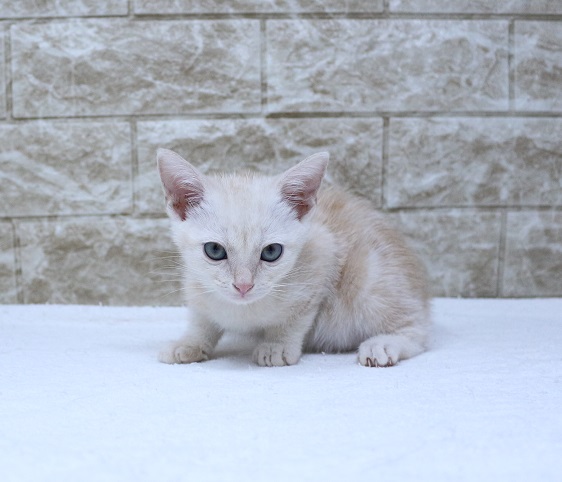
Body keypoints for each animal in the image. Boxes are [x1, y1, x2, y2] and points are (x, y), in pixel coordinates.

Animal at [156, 149, 428, 368]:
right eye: (214, 250)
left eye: (271, 252)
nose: (244, 285)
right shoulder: (196, 284)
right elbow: (202, 318)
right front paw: (190, 342)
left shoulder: (323, 255)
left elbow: (296, 316)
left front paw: (277, 345)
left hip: (371, 282)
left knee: (417, 330)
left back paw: (382, 344)